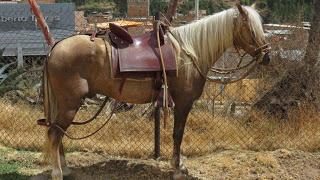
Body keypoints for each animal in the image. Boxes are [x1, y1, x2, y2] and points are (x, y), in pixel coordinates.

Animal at [42, 4, 270, 180]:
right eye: (251, 29)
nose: (267, 56)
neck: (190, 53)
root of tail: (55, 47)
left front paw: (179, 165)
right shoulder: (183, 103)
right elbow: (178, 133)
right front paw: (177, 168)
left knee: (57, 132)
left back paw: (65, 168)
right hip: (70, 105)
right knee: (54, 134)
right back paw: (58, 172)